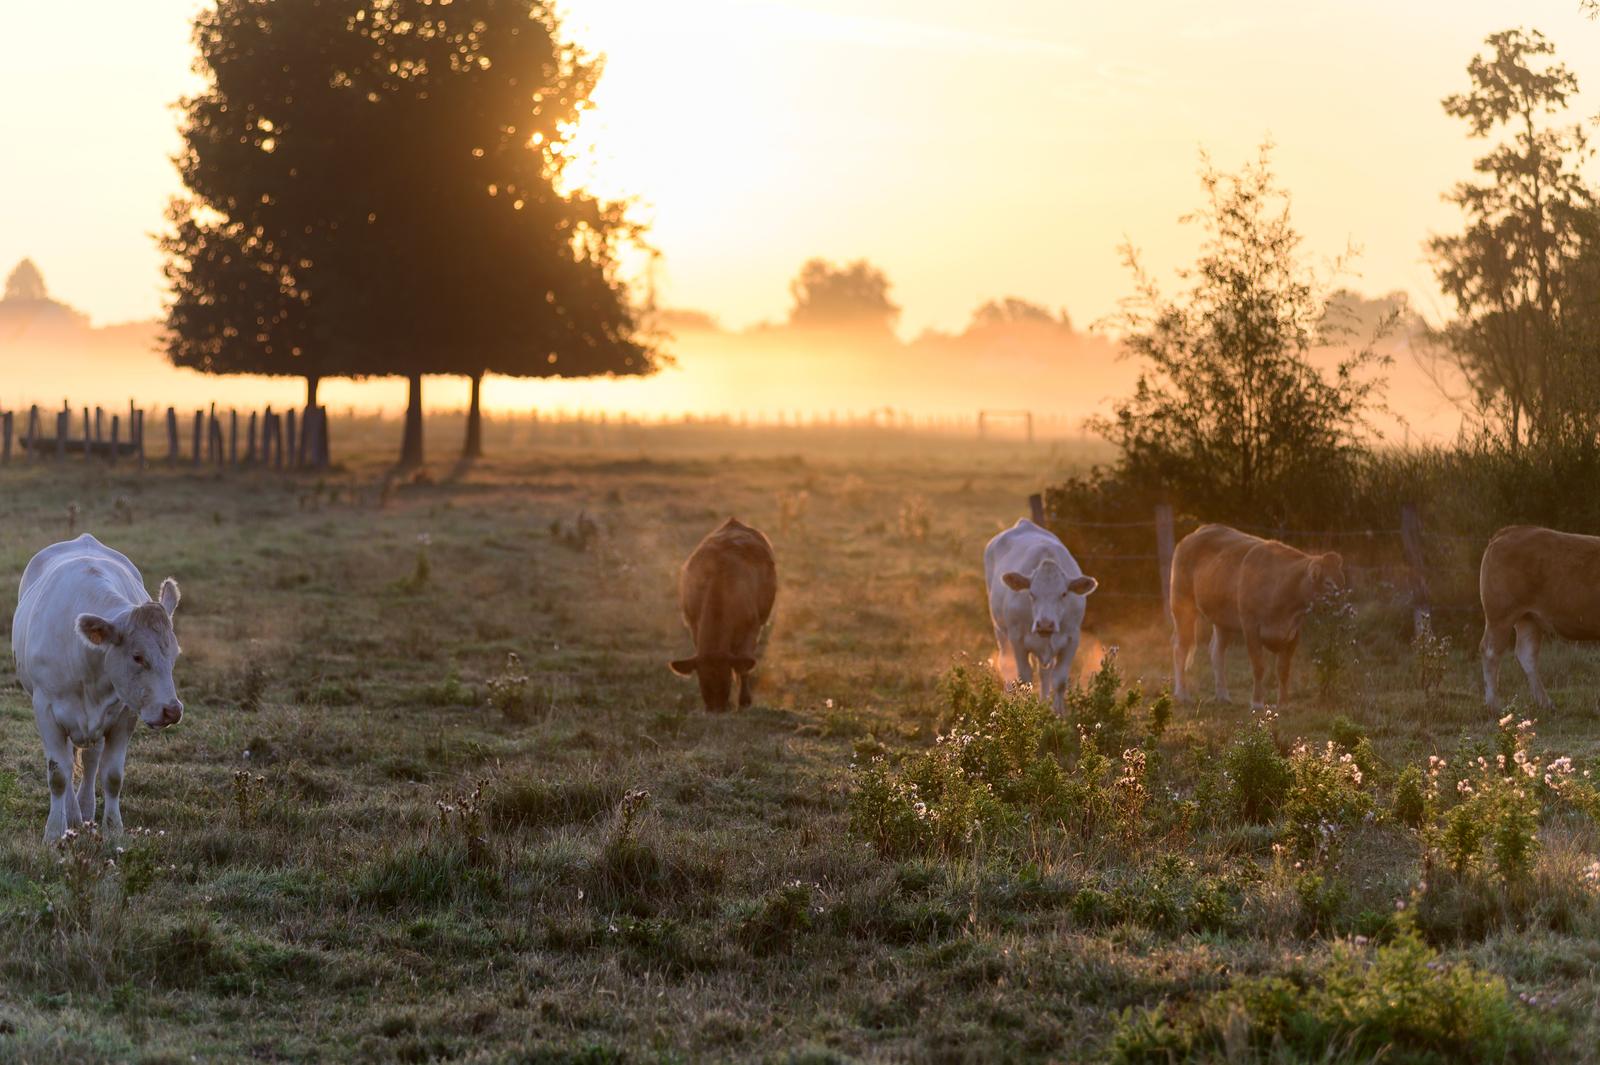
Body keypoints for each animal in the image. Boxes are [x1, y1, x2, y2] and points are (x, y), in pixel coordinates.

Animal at [12, 534, 184, 841]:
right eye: (137, 656)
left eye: (175, 655)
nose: (172, 711)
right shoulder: (46, 711)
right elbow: (58, 774)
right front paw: (54, 832)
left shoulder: (124, 714)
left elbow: (112, 776)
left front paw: (114, 831)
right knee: (69, 762)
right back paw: (72, 814)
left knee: (91, 760)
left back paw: (85, 810)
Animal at [669, 518, 777, 712]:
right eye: (702, 681)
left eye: (725, 682)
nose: (716, 709)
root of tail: (734, 522)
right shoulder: (694, 626)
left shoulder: (752, 628)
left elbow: (743, 667)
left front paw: (744, 701)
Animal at [984, 519, 1098, 714]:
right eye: (1031, 593)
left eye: (1064, 594)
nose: (1045, 624)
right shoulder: (1018, 639)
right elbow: (1024, 679)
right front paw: (1024, 711)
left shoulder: (1072, 639)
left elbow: (1059, 680)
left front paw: (1057, 714)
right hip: (1000, 631)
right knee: (1006, 665)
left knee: (1044, 672)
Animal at [1170, 523, 1343, 710]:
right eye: (1328, 583)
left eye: (1342, 580)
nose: (1343, 602)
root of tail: (1197, 532)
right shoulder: (1250, 625)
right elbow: (1259, 665)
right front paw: (1257, 702)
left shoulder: (1294, 631)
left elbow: (1283, 669)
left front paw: (1283, 703)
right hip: (1182, 606)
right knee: (1180, 648)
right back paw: (1182, 695)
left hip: (1223, 619)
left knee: (1216, 651)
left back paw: (1223, 695)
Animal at [1479, 524, 1600, 711]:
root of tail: (1512, 530)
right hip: (1500, 615)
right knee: (1490, 651)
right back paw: (1494, 705)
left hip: (1528, 618)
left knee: (1526, 655)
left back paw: (1545, 703)